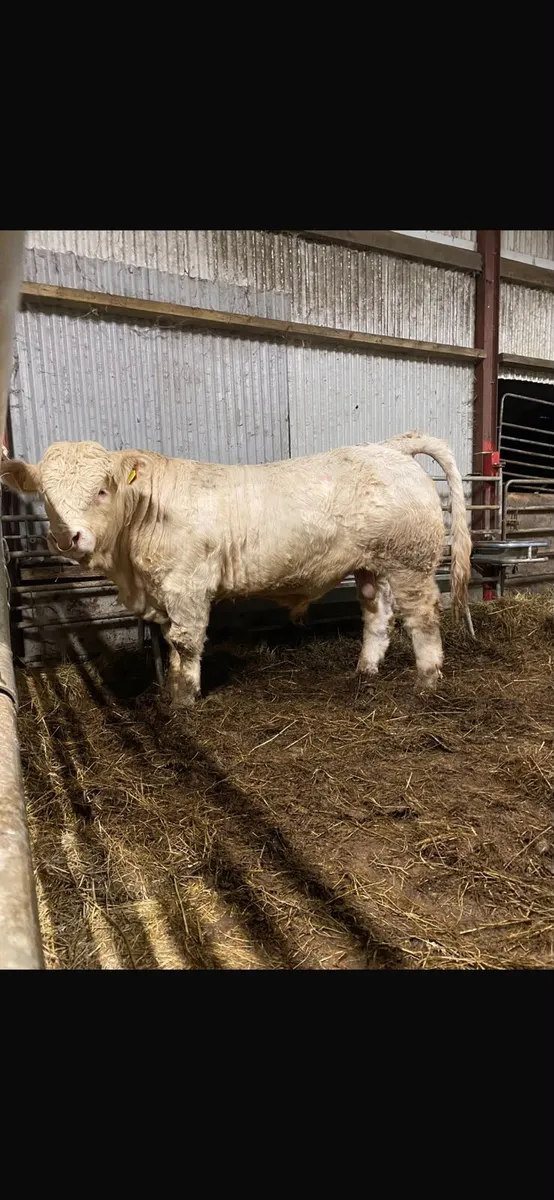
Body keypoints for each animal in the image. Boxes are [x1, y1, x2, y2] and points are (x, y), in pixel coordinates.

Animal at [0, 433, 472, 708]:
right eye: (45, 496)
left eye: (101, 490)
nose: (68, 538)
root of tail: (388, 449)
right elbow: (170, 644)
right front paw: (174, 689)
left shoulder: (187, 585)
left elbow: (186, 643)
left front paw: (184, 700)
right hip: (372, 566)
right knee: (377, 617)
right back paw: (365, 671)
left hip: (409, 561)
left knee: (422, 617)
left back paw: (427, 681)